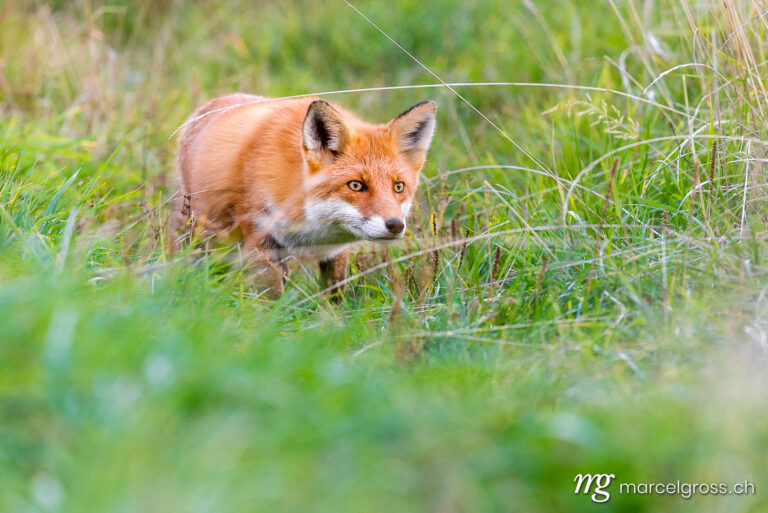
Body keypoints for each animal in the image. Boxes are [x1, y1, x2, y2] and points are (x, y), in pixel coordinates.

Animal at [172, 94, 438, 298]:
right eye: (356, 185)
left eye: (398, 187)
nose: (395, 225)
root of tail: (212, 102)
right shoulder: (260, 238)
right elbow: (270, 297)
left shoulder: (335, 251)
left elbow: (335, 296)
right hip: (198, 233)